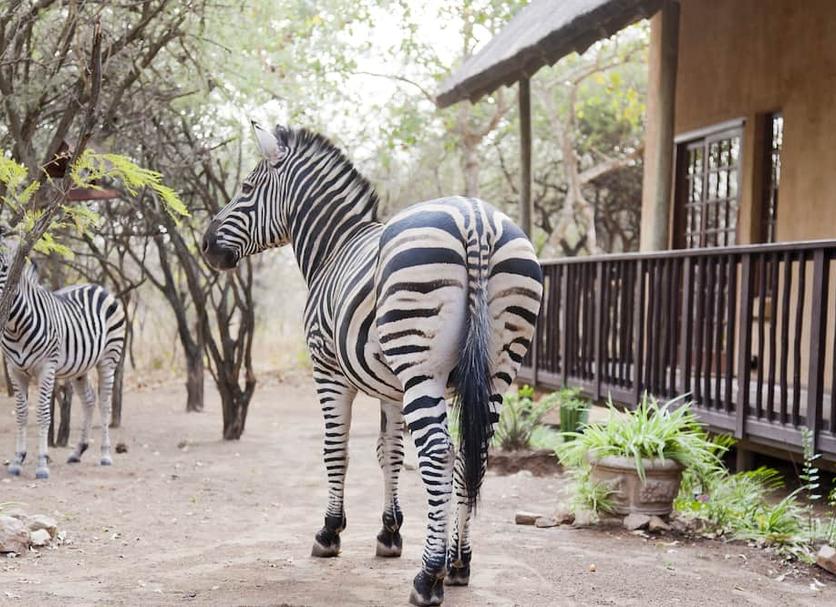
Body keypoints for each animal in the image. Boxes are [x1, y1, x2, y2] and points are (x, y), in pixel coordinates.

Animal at [1, 242, 125, 480]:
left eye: (4, 268)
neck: (15, 327)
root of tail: (97, 287)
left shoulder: (46, 367)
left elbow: (42, 413)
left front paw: (41, 464)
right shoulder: (15, 370)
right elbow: (21, 414)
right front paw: (18, 460)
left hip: (109, 357)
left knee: (104, 403)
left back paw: (105, 454)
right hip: (80, 366)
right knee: (89, 399)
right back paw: (78, 451)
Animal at [201, 123, 544, 607]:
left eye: (247, 188)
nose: (206, 245)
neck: (334, 247)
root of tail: (475, 218)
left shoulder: (327, 368)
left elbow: (336, 451)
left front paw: (330, 533)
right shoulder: (392, 389)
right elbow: (390, 454)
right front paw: (390, 532)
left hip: (422, 366)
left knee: (439, 454)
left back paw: (428, 577)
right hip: (497, 371)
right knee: (470, 455)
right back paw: (459, 563)